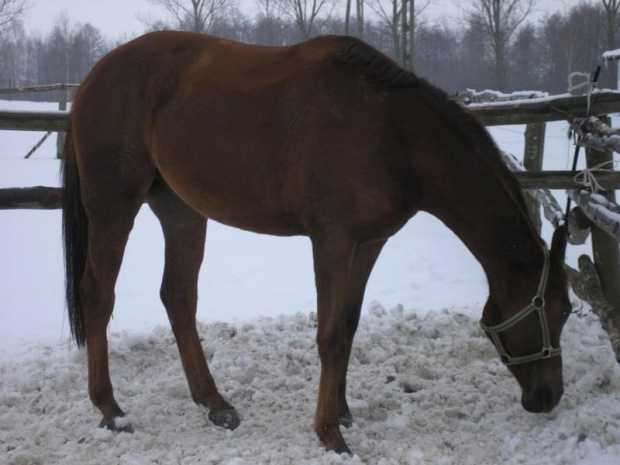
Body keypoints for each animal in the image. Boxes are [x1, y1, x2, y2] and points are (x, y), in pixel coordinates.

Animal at [63, 31, 572, 454]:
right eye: (560, 311)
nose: (548, 397)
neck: (392, 133)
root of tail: (93, 77)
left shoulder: (369, 243)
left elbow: (348, 324)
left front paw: (342, 413)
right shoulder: (333, 241)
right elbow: (330, 336)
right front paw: (329, 435)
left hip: (181, 211)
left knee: (178, 297)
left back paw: (214, 403)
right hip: (114, 206)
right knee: (98, 295)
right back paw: (110, 409)